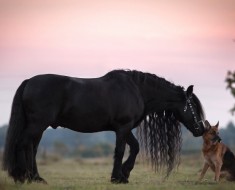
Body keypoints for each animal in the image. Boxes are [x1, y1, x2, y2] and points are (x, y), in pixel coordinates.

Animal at [1, 70, 205, 184]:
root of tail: (29, 81)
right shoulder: (123, 127)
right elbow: (120, 150)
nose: (201, 129)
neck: (137, 90)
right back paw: (21, 176)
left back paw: (35, 178)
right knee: (22, 144)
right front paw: (118, 178)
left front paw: (125, 173)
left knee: (32, 149)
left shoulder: (125, 128)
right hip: (37, 125)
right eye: (193, 106)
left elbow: (135, 147)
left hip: (38, 127)